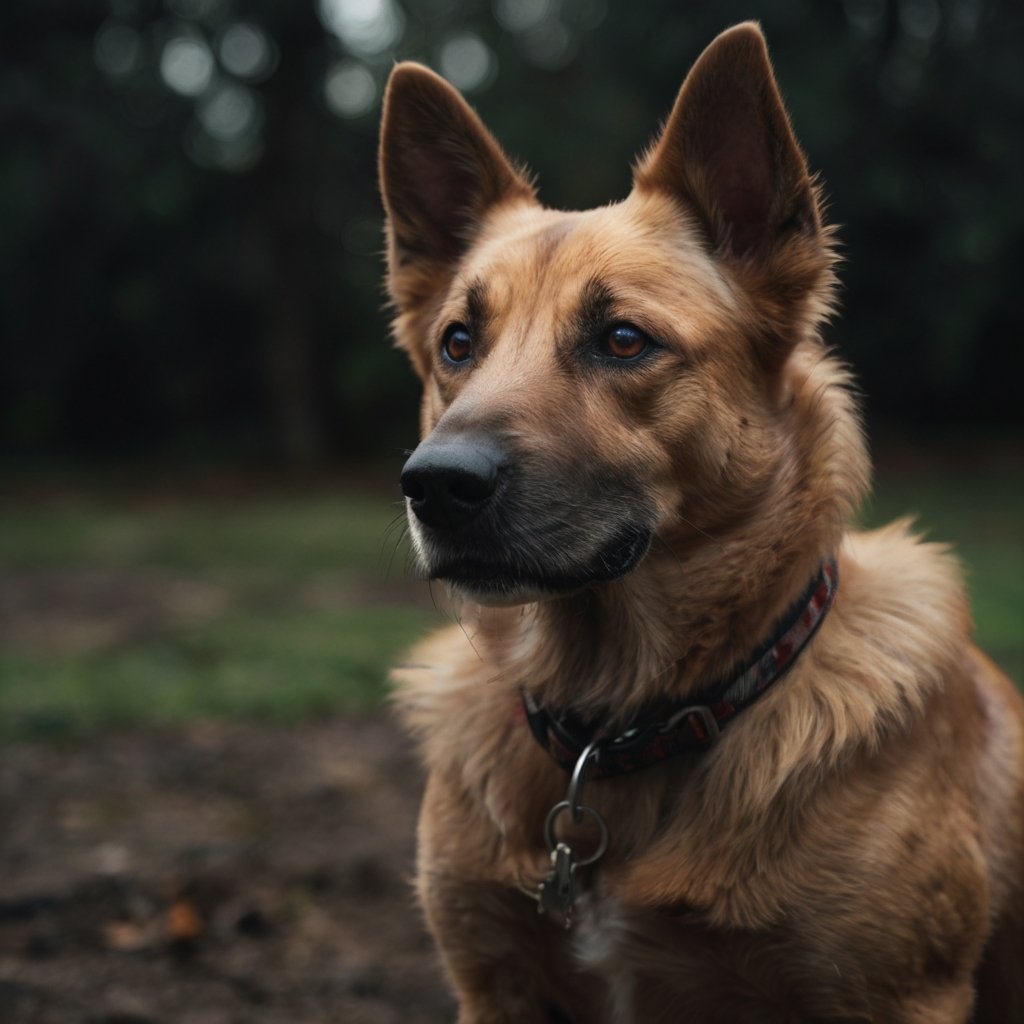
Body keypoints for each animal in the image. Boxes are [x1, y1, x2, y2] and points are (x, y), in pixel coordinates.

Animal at [376, 24, 1024, 1024]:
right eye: (457, 343)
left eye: (622, 340)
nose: (435, 485)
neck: (618, 732)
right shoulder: (497, 986)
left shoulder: (900, 997)